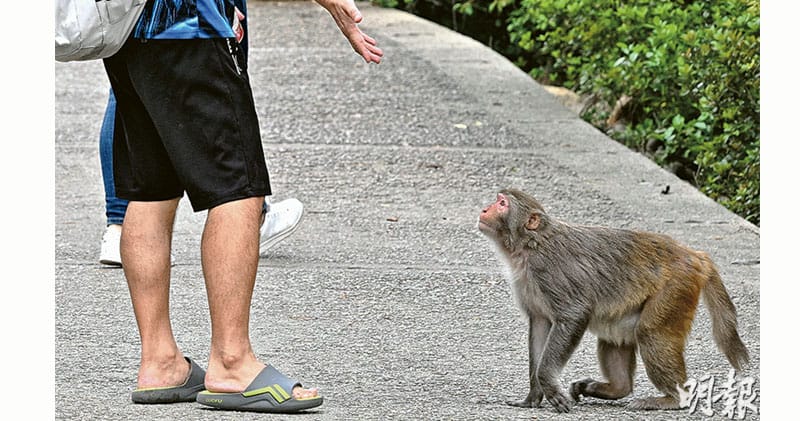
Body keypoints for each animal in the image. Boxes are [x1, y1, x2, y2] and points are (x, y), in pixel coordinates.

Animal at [482, 189, 752, 412]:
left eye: (502, 203)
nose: (484, 209)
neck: (530, 246)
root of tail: (694, 255)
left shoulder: (549, 272)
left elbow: (574, 314)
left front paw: (548, 383)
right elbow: (539, 325)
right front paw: (532, 397)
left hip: (675, 287)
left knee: (650, 333)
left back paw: (674, 399)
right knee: (614, 336)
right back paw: (612, 388)